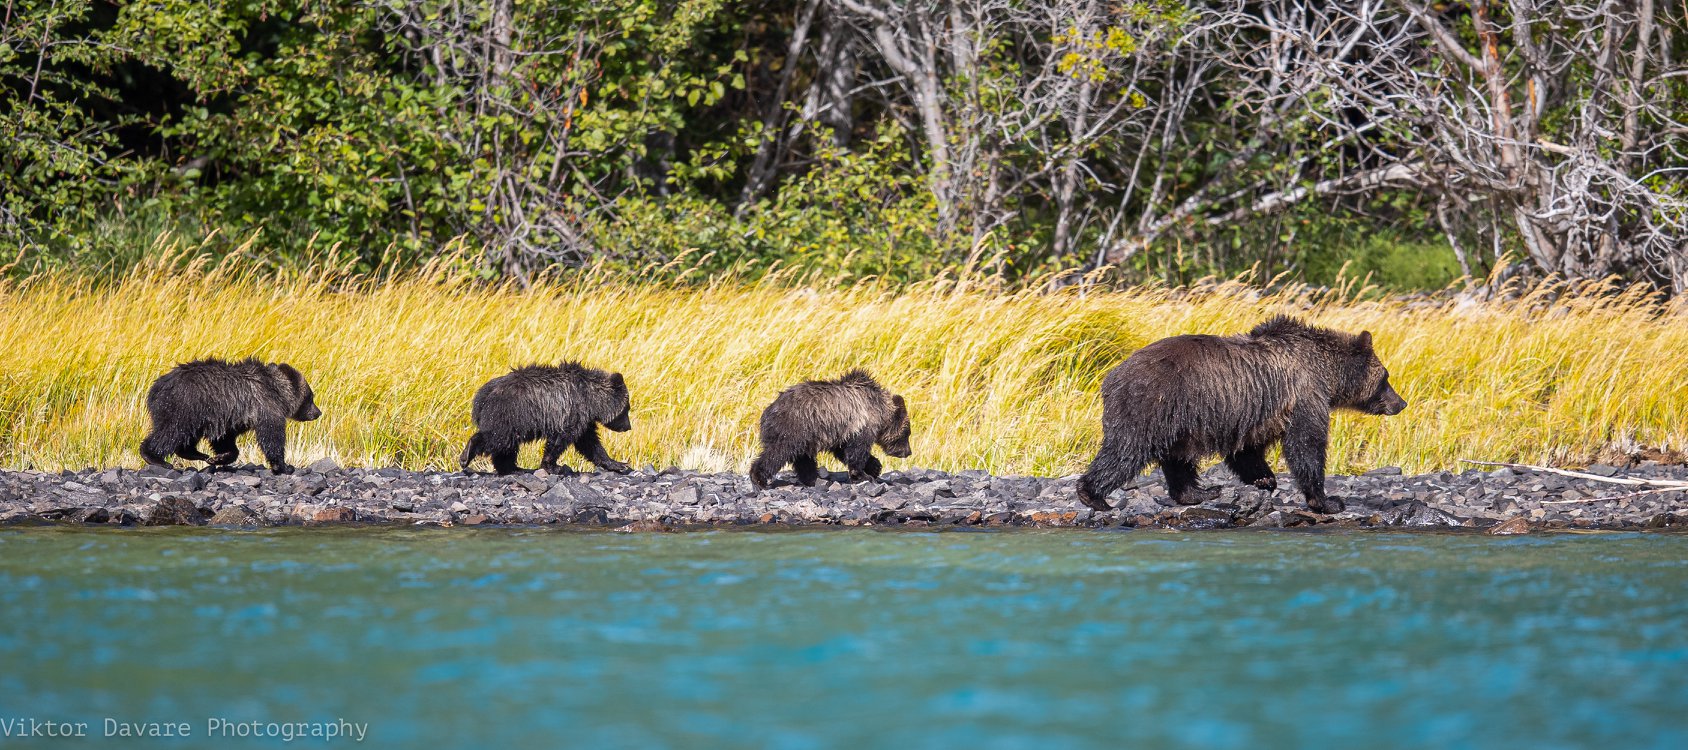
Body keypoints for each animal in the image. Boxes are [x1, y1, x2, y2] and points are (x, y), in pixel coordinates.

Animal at [140, 358, 322, 472]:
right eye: (311, 397)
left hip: (195, 413)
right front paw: (283, 466)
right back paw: (154, 457)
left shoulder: (232, 417)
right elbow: (272, 436)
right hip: (184, 406)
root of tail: (156, 388)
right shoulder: (265, 406)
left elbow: (224, 439)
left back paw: (198, 454)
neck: (276, 390)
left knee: (184, 436)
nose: (318, 412)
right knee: (170, 432)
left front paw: (218, 458)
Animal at [749, 369, 911, 489]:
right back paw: (759, 478)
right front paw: (863, 475)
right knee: (777, 453)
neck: (879, 410)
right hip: (794, 429)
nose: (908, 452)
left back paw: (812, 480)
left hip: (805, 435)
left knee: (803, 459)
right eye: (907, 433)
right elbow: (857, 451)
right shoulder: (861, 424)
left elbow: (843, 450)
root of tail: (768, 411)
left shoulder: (844, 431)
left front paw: (874, 466)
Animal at [1080, 315, 1411, 516]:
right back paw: (1093, 495)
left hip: (1178, 419)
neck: (1326, 373)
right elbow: (1306, 445)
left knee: (1177, 458)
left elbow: (1247, 450)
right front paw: (1327, 500)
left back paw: (1199, 493)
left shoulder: (1261, 410)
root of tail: (1110, 377)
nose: (1401, 403)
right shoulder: (1305, 395)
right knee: (1126, 450)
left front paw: (1265, 479)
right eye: (1386, 377)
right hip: (1152, 405)